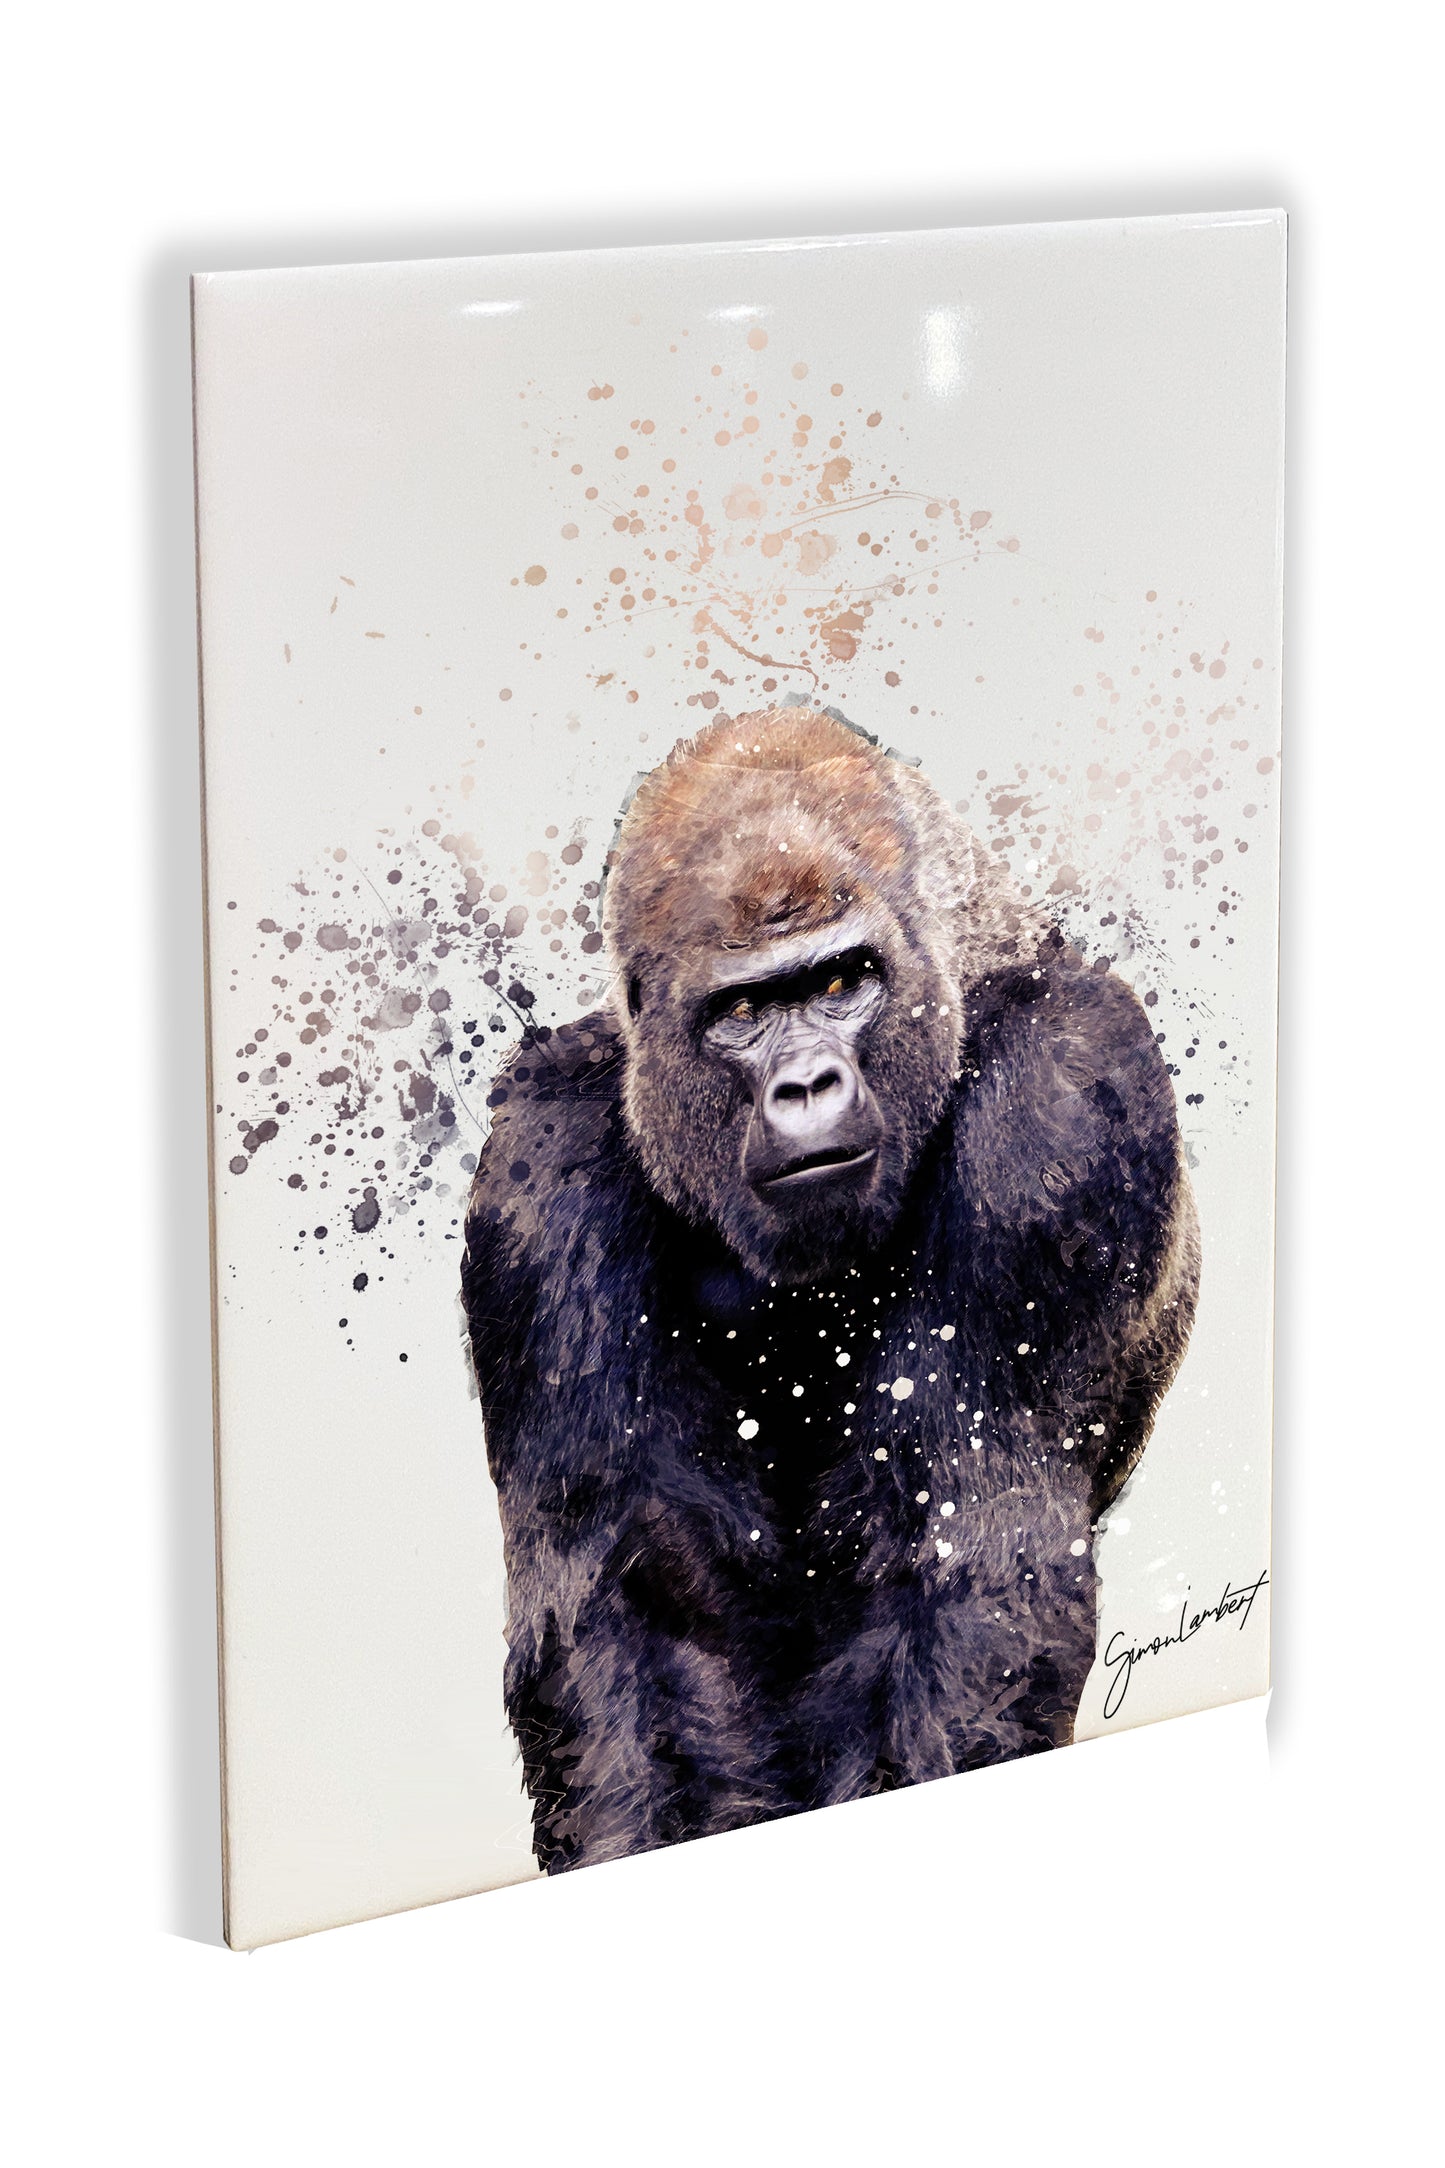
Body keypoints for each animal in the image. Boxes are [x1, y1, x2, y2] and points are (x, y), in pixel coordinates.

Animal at [462, 703, 1199, 1873]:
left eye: (842, 984)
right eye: (742, 1010)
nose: (806, 1084)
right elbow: (626, 1614)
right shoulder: (540, 1159)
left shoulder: (1065, 1089)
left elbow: (980, 1569)